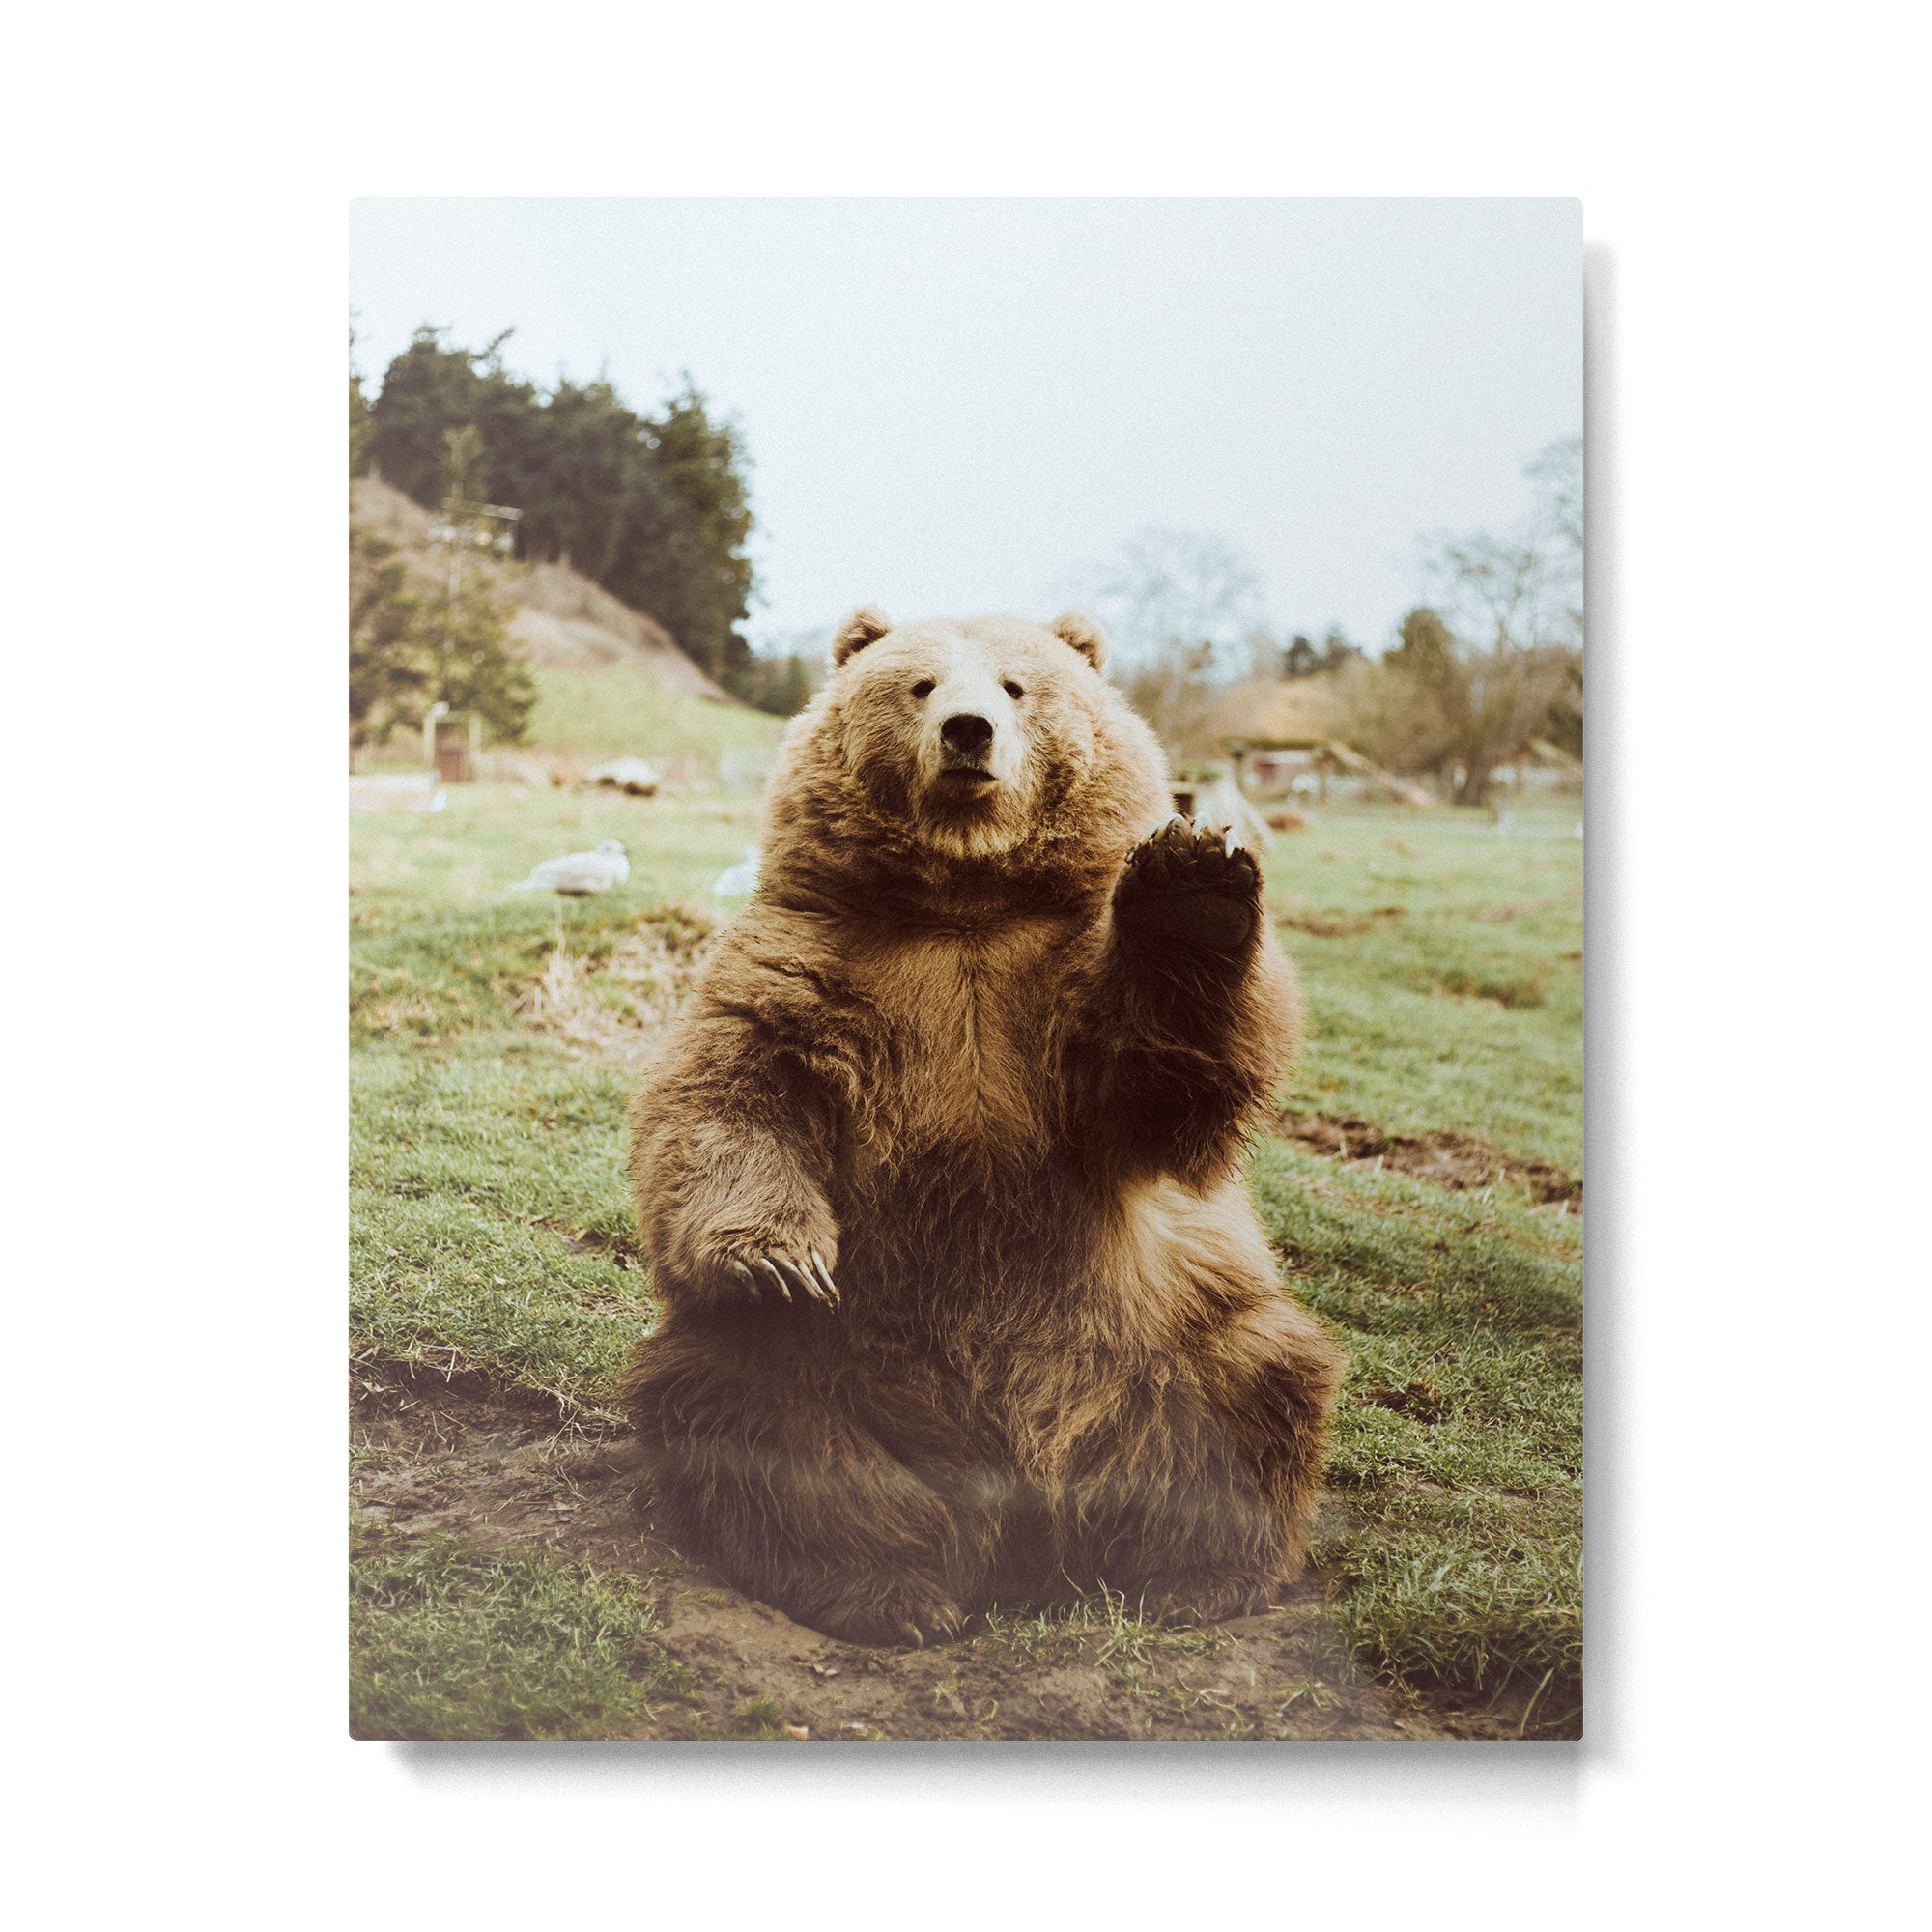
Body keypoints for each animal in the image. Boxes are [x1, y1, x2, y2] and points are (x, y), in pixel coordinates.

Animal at [618, 606, 1344, 1646]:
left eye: (1015, 685)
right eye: (919, 684)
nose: (967, 732)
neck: (964, 901)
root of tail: (1023, 1510)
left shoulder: (1050, 995)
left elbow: (1160, 1085)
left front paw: (1191, 885)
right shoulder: (809, 965)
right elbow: (730, 1096)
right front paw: (776, 1258)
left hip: (1166, 1334)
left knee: (1258, 1380)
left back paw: (1197, 1574)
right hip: (835, 1362)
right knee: (749, 1410)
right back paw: (891, 1588)